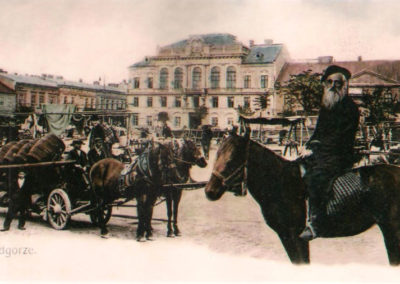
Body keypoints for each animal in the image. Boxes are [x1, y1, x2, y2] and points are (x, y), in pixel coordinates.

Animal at [206, 132, 400, 266]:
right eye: (217, 155)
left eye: (232, 159)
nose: (209, 191)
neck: (281, 182)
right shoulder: (286, 236)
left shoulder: (296, 236)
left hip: (391, 229)